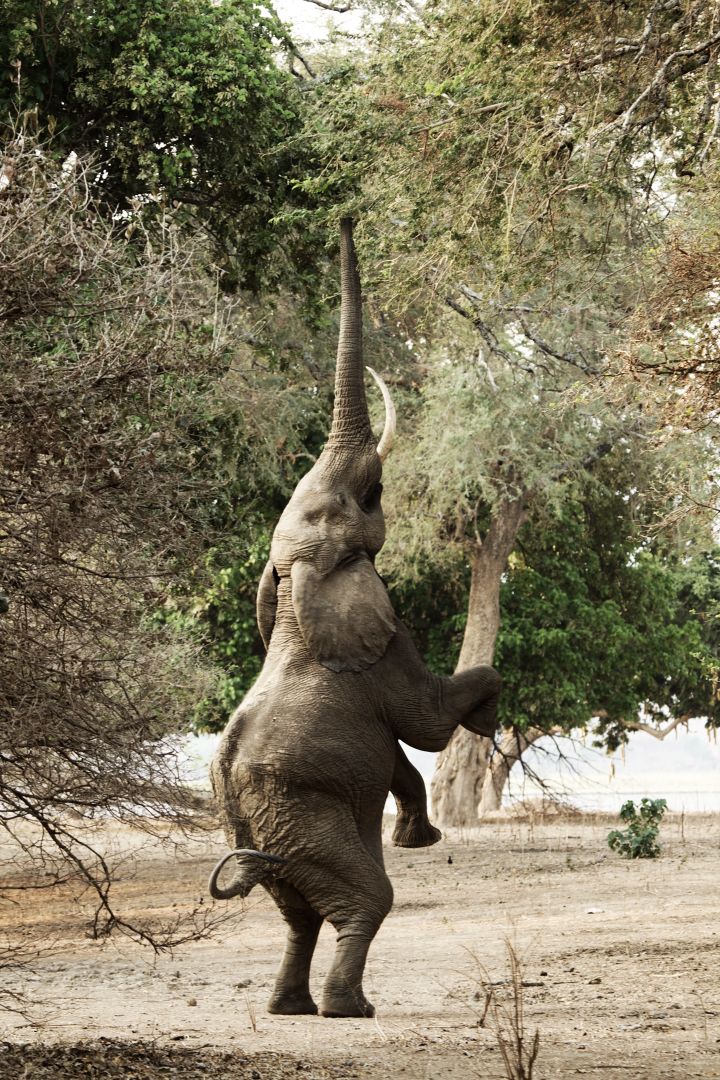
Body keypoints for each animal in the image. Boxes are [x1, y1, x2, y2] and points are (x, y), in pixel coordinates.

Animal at [209, 218, 501, 1020]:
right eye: (367, 498)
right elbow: (425, 720)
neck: (296, 587)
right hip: (303, 821)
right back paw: (348, 1009)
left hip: (283, 835)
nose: (342, 216)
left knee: (298, 914)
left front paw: (419, 832)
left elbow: (402, 752)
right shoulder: (385, 638)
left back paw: (290, 1009)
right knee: (365, 899)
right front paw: (487, 718)